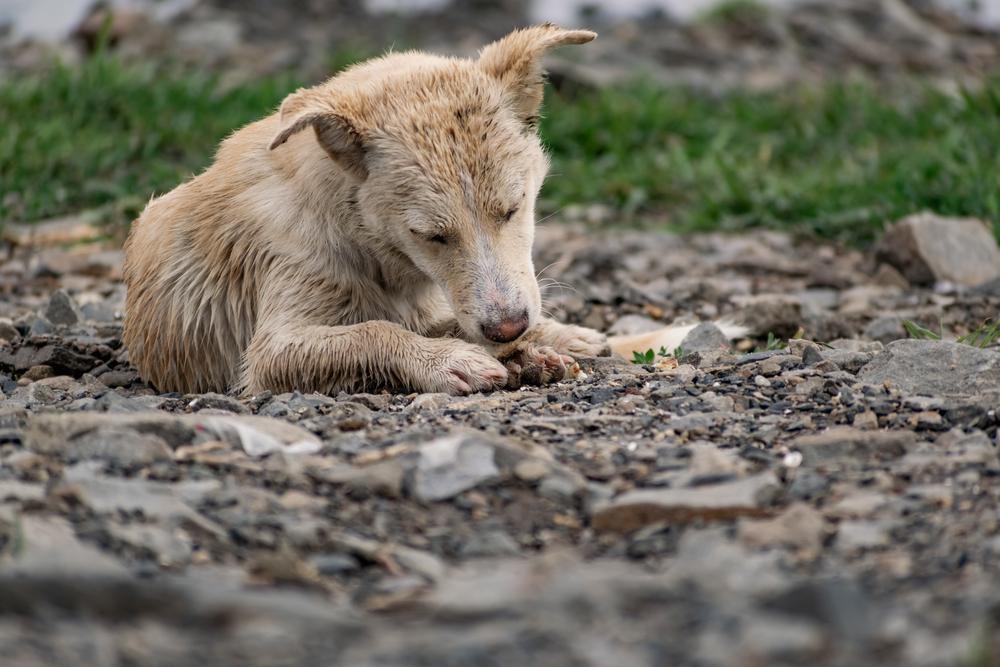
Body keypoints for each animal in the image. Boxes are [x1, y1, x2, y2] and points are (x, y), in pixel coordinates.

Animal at [121, 24, 740, 396]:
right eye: (432, 236)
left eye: (513, 209)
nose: (509, 325)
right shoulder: (272, 348)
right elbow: (370, 332)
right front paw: (448, 362)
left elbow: (440, 322)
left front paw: (538, 344)